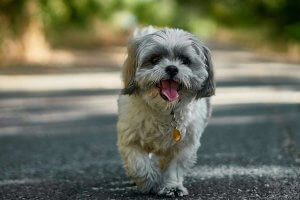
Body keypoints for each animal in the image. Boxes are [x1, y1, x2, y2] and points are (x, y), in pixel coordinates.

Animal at [117, 26, 216, 197]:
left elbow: (175, 167)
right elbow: (138, 164)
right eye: (155, 59)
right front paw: (150, 182)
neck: (164, 110)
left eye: (185, 60)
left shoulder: (185, 144)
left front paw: (172, 187)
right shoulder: (130, 139)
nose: (171, 68)